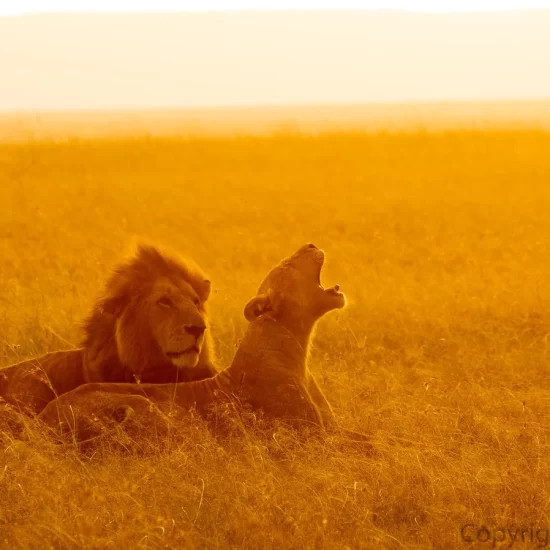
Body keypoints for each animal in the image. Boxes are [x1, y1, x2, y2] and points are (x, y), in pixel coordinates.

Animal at [38, 246, 366, 444]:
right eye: (287, 265)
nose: (310, 245)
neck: (298, 348)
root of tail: (42, 423)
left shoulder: (332, 429)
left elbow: (370, 437)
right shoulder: (310, 438)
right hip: (150, 411)